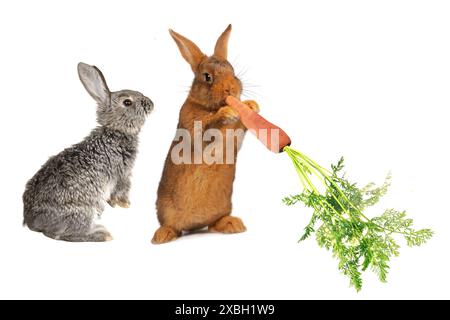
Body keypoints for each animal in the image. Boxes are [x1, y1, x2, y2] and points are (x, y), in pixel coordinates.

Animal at [22, 62, 153, 241]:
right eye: (127, 102)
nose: (151, 104)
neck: (115, 131)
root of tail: (32, 222)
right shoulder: (122, 172)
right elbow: (122, 188)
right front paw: (124, 204)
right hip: (85, 211)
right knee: (61, 234)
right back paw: (101, 234)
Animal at [153, 25, 260, 244]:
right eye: (207, 77)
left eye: (233, 71)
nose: (231, 89)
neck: (209, 107)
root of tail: (194, 225)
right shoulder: (193, 128)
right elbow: (207, 127)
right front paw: (227, 112)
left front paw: (251, 105)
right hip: (165, 210)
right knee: (171, 226)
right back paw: (162, 236)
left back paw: (232, 224)